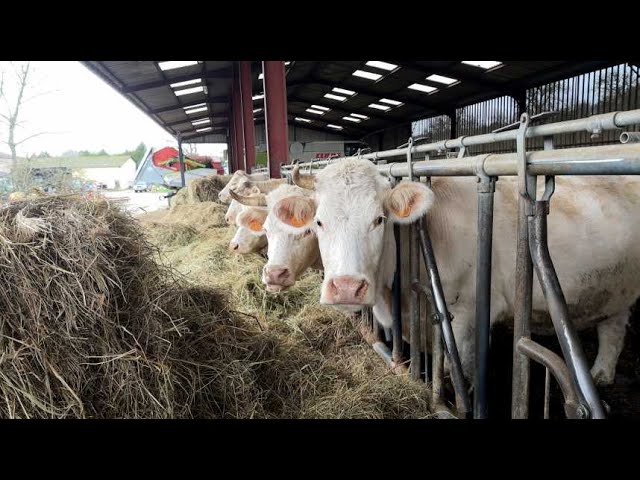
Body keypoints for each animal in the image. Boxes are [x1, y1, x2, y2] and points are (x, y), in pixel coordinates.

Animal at [280, 158, 640, 386]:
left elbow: (462, 372)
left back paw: (599, 375)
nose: (345, 287)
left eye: (379, 220)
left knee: (614, 327)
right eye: (319, 222)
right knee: (613, 326)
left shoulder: (468, 315)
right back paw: (601, 375)